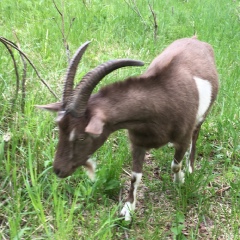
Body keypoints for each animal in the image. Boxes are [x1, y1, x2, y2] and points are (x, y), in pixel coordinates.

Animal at [37, 38, 219, 221]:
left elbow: (175, 164)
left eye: (81, 137)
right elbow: (135, 176)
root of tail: (196, 40)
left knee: (195, 137)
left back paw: (189, 169)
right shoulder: (138, 142)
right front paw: (128, 209)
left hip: (202, 116)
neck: (162, 100)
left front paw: (179, 181)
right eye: (60, 129)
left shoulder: (182, 138)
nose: (58, 170)